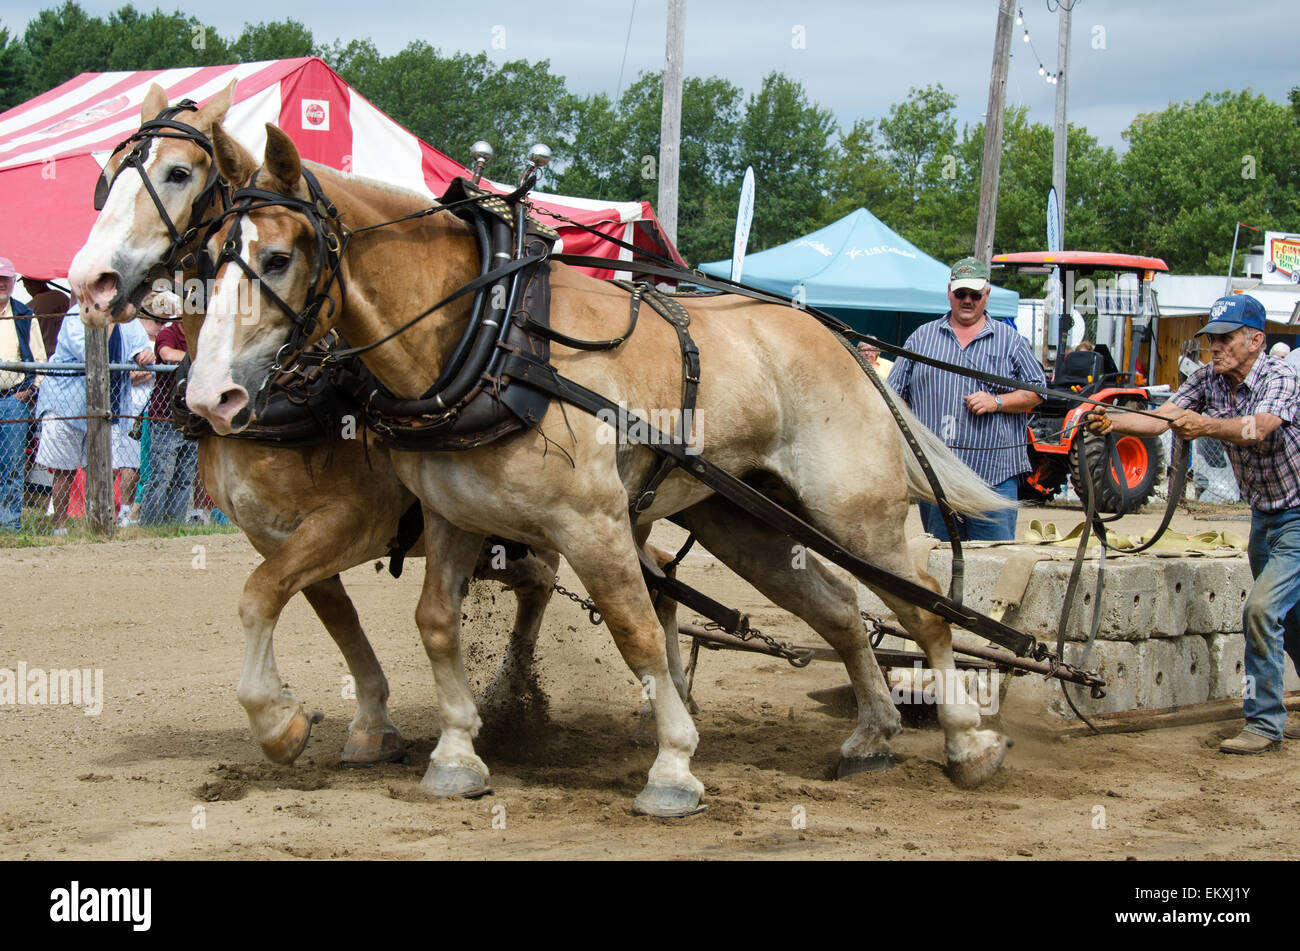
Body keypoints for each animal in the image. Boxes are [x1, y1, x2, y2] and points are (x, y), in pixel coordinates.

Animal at [67, 84, 561, 769]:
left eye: (178, 172)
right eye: (109, 174)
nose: (90, 281)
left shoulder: (354, 518)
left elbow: (258, 596)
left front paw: (278, 720)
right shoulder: (276, 533)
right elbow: (330, 615)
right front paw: (370, 721)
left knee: (555, 577)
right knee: (542, 578)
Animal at [177, 121, 1017, 816]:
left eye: (278, 257)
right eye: (208, 262)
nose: (210, 396)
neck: (491, 340)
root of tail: (839, 338)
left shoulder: (594, 523)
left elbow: (636, 630)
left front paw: (673, 766)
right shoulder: (451, 518)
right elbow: (435, 623)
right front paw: (455, 755)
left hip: (857, 512)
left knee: (925, 610)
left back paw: (967, 740)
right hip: (744, 520)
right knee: (841, 612)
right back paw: (872, 735)